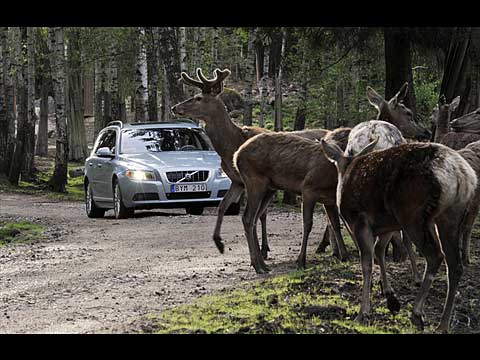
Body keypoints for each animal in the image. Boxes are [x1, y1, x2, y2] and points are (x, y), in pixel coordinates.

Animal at [172, 67, 348, 272]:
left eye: (198, 98)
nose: (175, 108)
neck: (231, 146)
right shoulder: (238, 181)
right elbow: (224, 206)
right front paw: (221, 243)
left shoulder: (258, 184)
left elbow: (259, 216)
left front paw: (262, 252)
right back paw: (329, 248)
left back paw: (329, 248)